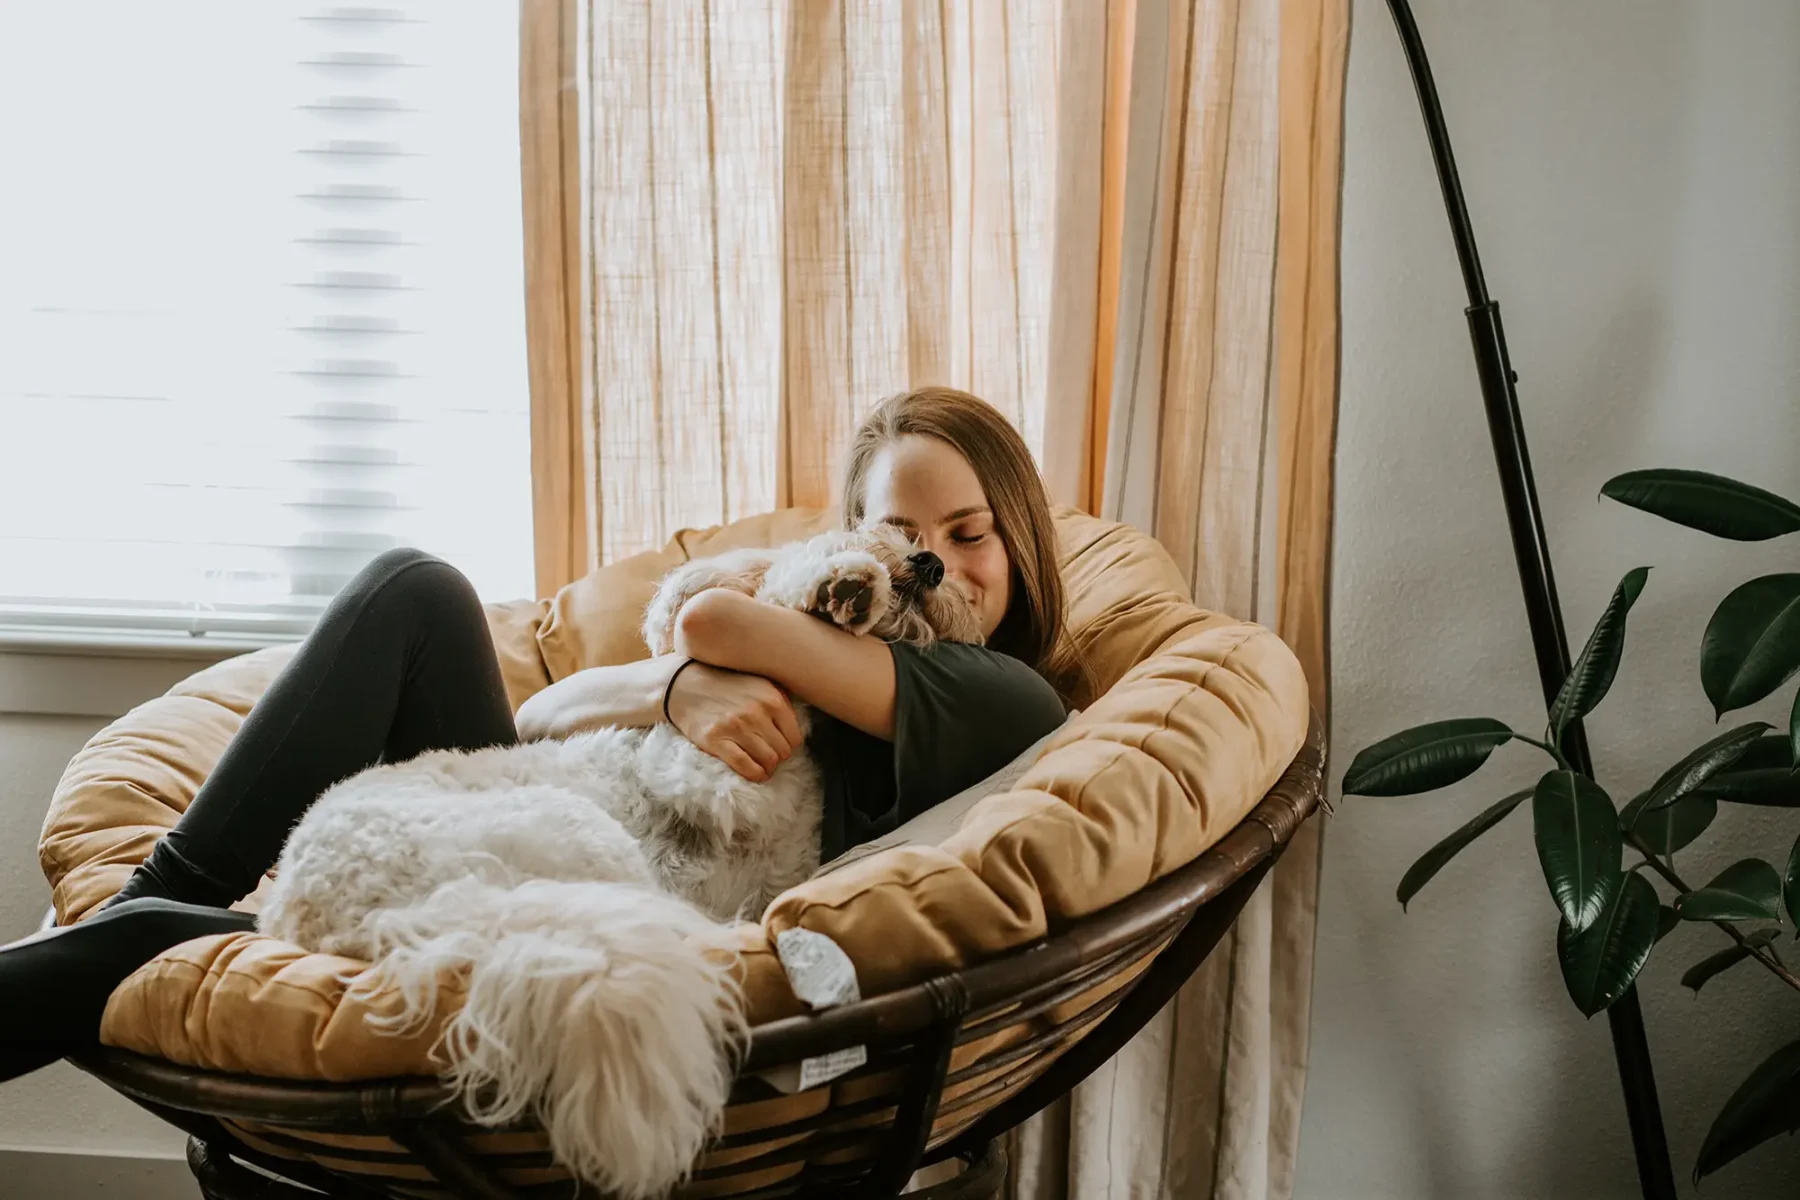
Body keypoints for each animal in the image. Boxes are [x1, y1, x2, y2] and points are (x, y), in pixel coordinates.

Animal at [261, 528, 979, 1200]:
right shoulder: (705, 769)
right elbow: (771, 613)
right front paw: (838, 586)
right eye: (864, 532)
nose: (929, 564)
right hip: (581, 835)